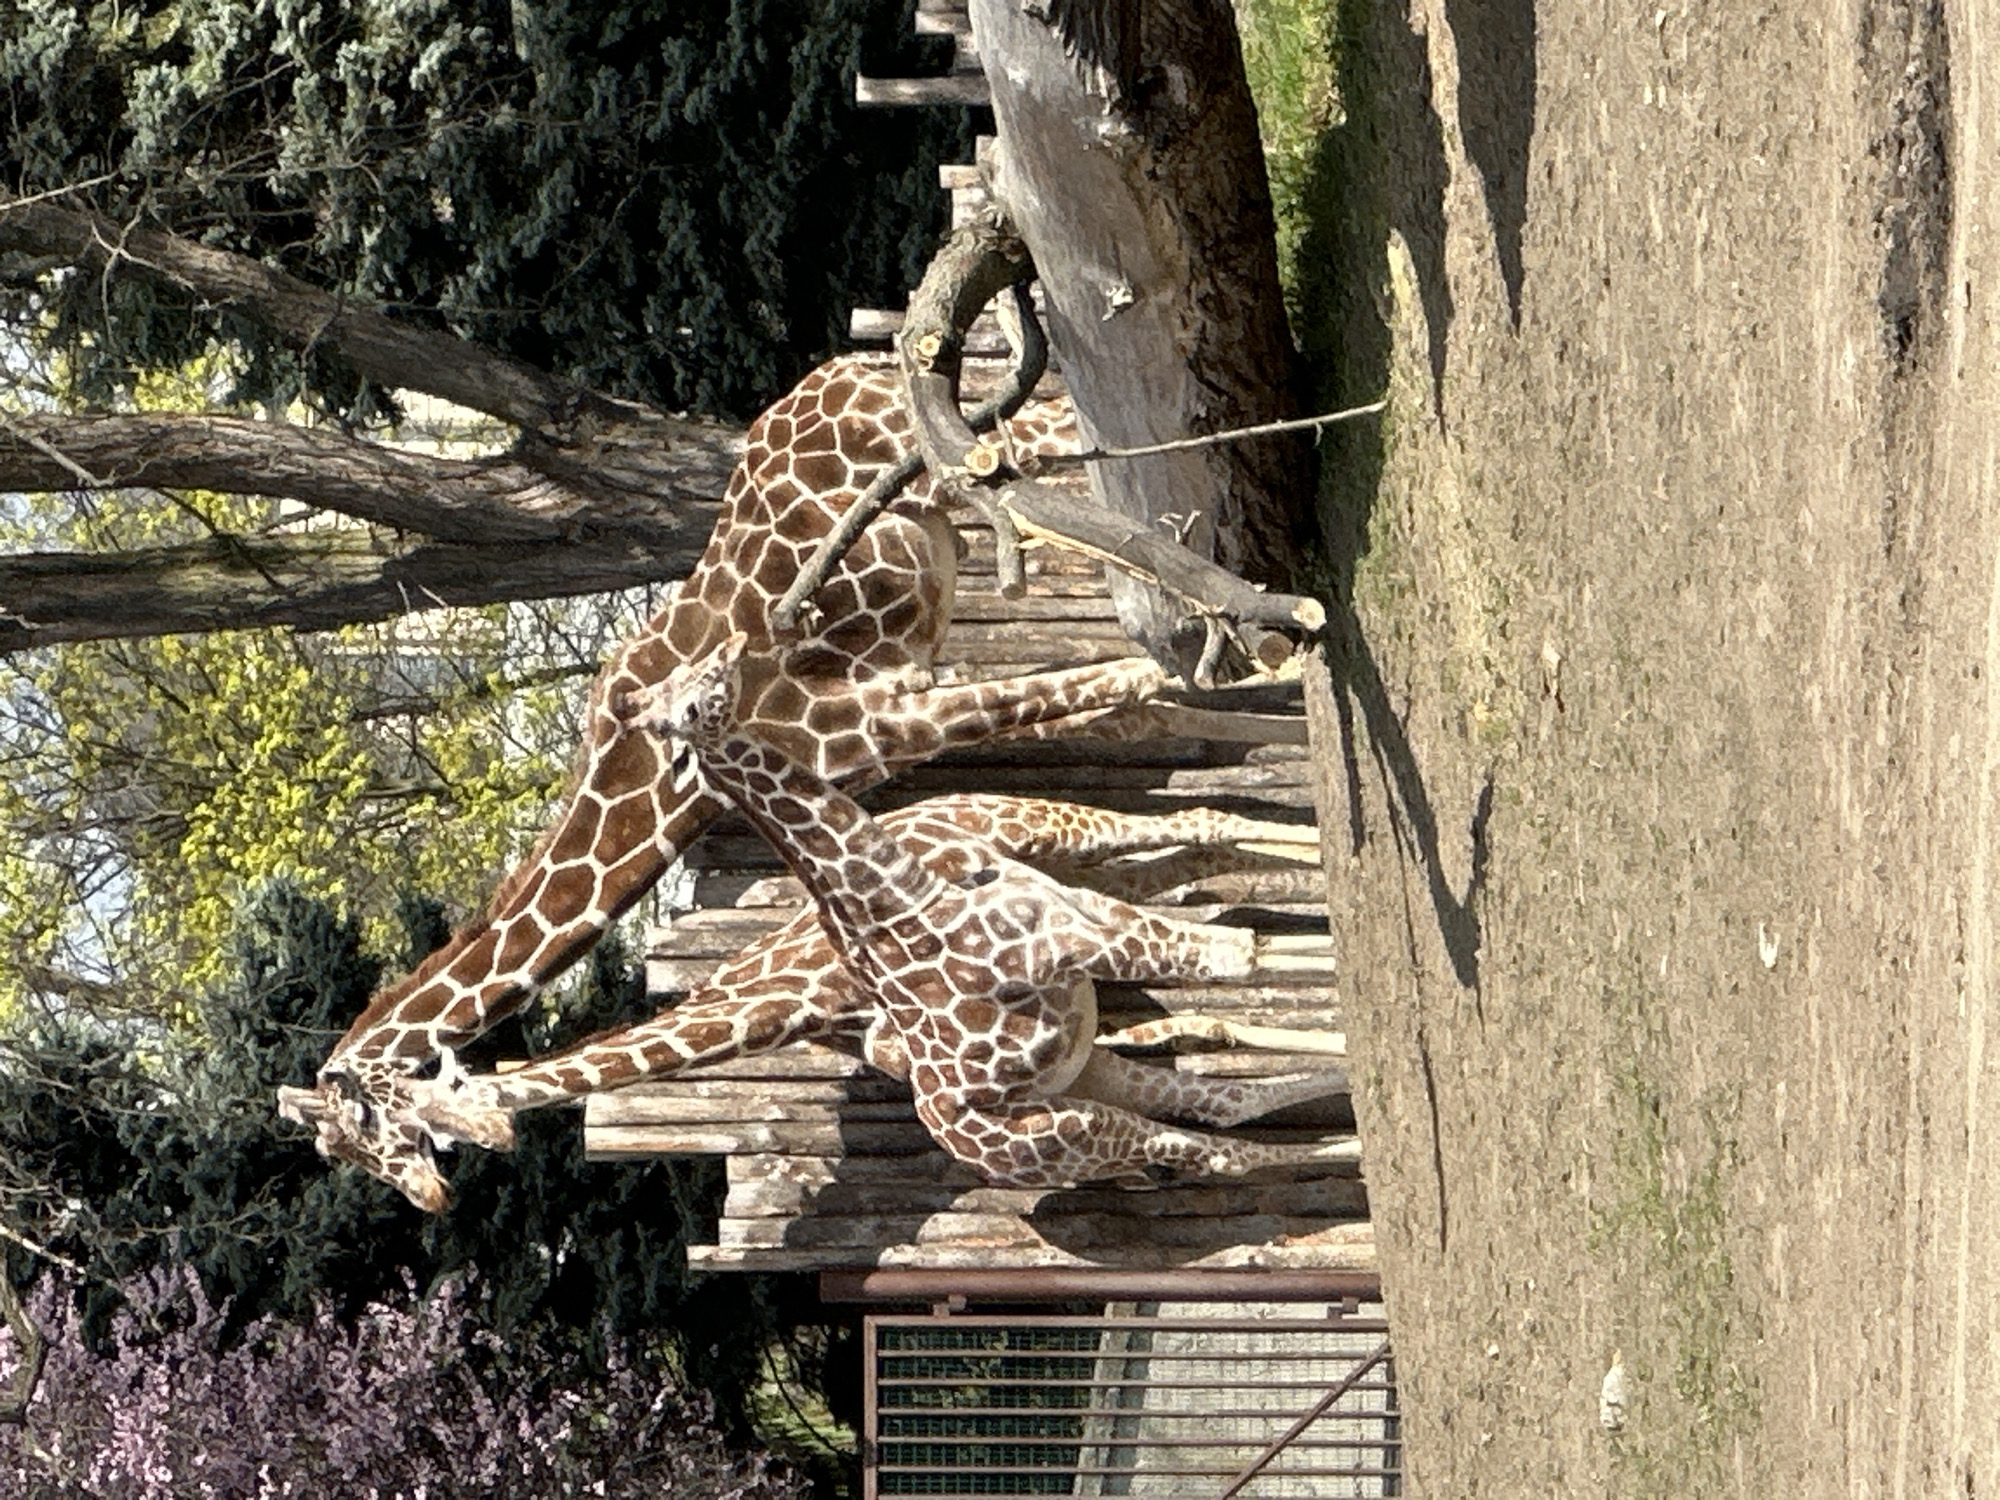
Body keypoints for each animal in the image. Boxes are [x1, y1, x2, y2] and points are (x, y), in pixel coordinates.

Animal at [278, 354, 1175, 1210]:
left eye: (370, 1123)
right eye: (348, 1158)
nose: (432, 1198)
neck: (659, 784)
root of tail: (833, 375)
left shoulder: (863, 719)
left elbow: (1115, 681)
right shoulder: (886, 730)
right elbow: (1109, 712)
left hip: (947, 455)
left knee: (1065, 437)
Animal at [385, 793, 1337, 1184]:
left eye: (411, 1128)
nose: (435, 1196)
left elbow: (1235, 966)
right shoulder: (1074, 1086)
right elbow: (1226, 1108)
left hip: (1058, 839)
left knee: (1204, 842)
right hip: (1094, 929)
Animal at [613, 633, 1349, 1190]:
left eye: (692, 680)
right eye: (689, 700)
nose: (734, 645)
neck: (903, 897)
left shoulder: (1082, 913)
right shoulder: (1084, 940)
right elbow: (1241, 954)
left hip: (1068, 934)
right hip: (1079, 1125)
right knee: (1225, 1139)